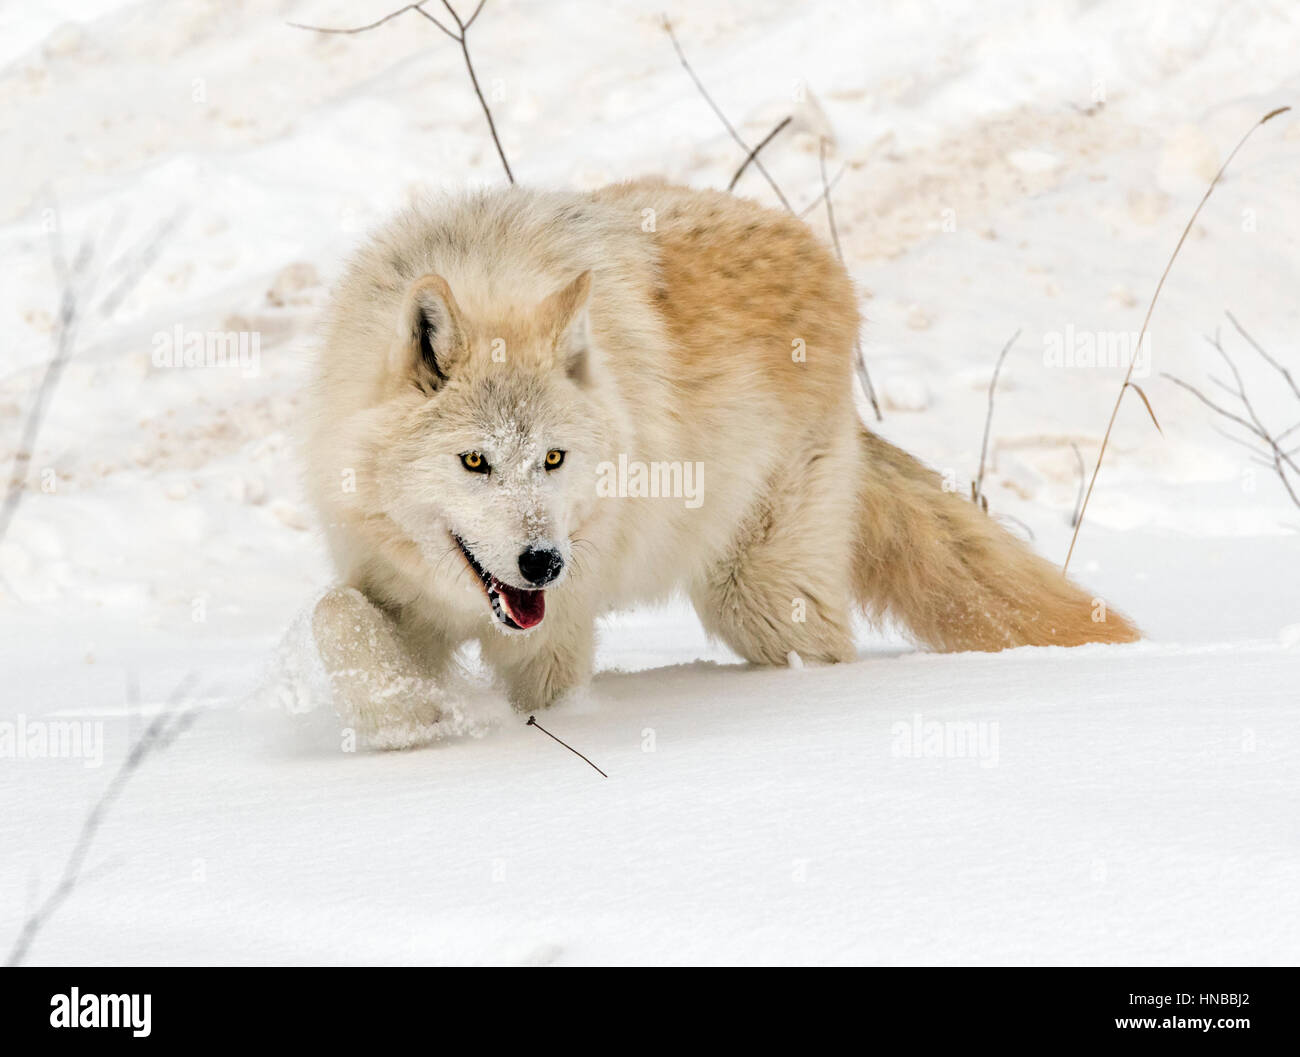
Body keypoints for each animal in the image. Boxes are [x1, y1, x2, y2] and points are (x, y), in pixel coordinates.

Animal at [302, 181, 1137, 732]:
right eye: (475, 462)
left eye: (554, 459)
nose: (544, 562)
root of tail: (825, 262)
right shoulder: (385, 579)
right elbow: (333, 613)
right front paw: (405, 720)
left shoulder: (557, 631)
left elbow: (548, 703)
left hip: (758, 598)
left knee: (825, 655)